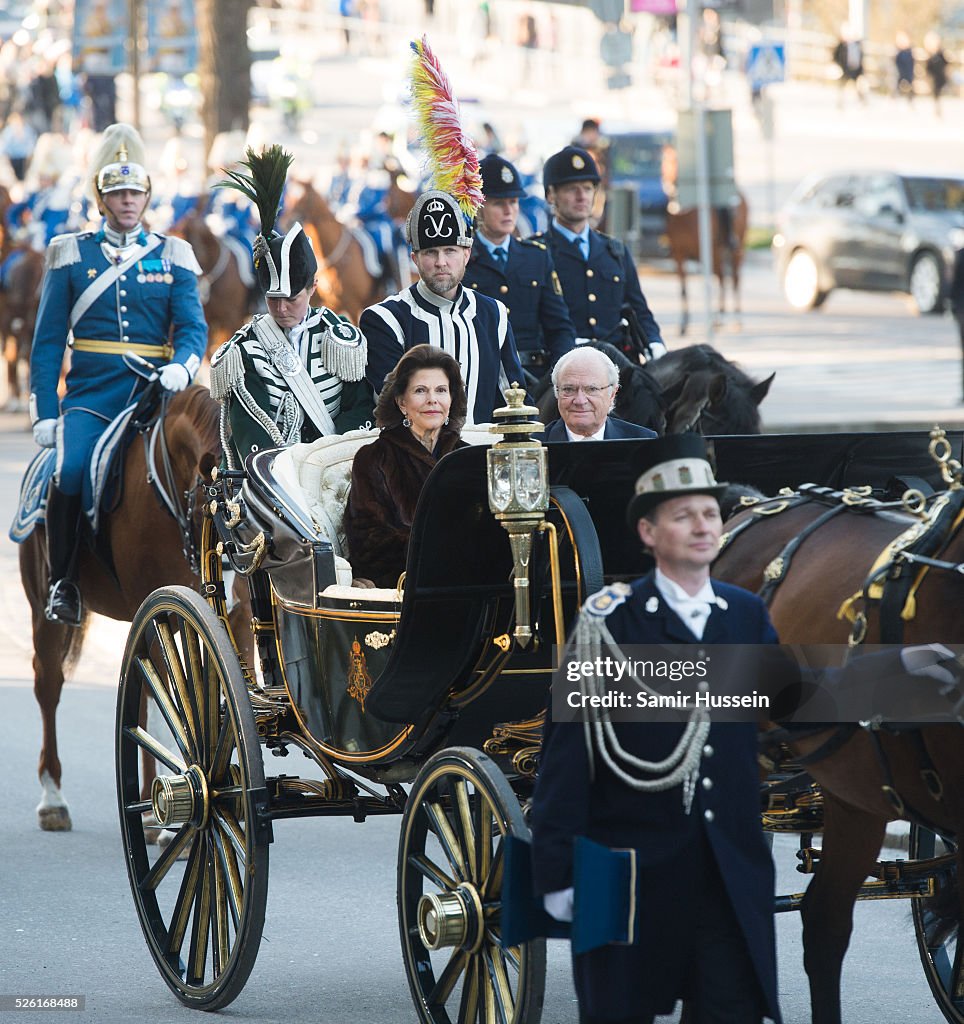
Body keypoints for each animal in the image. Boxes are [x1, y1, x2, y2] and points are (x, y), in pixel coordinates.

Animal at [19, 385, 252, 831]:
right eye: (217, 511)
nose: (234, 582)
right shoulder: (167, 611)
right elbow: (171, 709)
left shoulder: (238, 621)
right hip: (43, 610)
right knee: (49, 684)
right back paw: (53, 799)